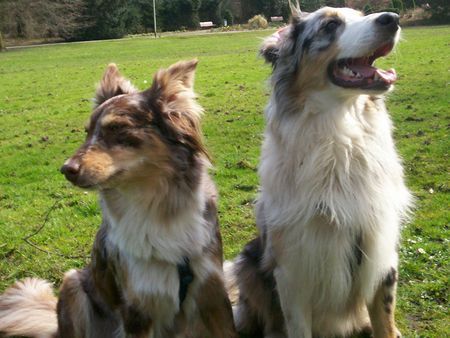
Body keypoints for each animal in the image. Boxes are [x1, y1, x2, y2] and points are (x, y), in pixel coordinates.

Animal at [0, 60, 237, 338]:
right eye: (87, 132)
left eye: (117, 128)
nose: (66, 169)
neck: (159, 205)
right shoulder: (136, 310)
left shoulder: (214, 294)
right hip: (72, 284)